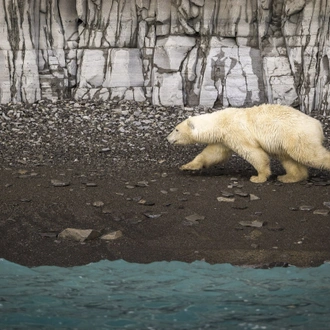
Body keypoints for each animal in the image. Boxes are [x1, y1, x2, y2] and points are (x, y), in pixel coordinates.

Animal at [168, 104, 330, 183]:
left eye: (176, 129)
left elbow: (253, 152)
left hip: (296, 134)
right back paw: (289, 177)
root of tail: (318, 125)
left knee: (309, 154)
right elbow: (213, 154)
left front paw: (258, 177)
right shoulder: (224, 139)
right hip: (286, 142)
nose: (168, 138)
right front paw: (187, 166)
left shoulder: (236, 131)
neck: (219, 121)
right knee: (288, 158)